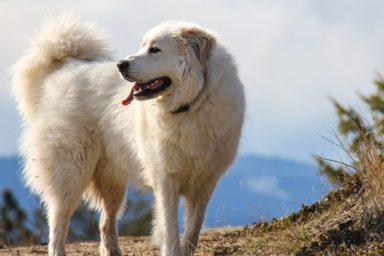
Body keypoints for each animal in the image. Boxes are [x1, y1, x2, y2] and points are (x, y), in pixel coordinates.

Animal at [13, 15, 244, 256]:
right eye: (142, 46)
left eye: (155, 50)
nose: (121, 65)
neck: (191, 104)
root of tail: (64, 68)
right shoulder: (166, 180)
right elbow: (170, 229)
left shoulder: (205, 183)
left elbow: (192, 230)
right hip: (72, 172)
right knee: (58, 223)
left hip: (113, 182)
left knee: (105, 222)